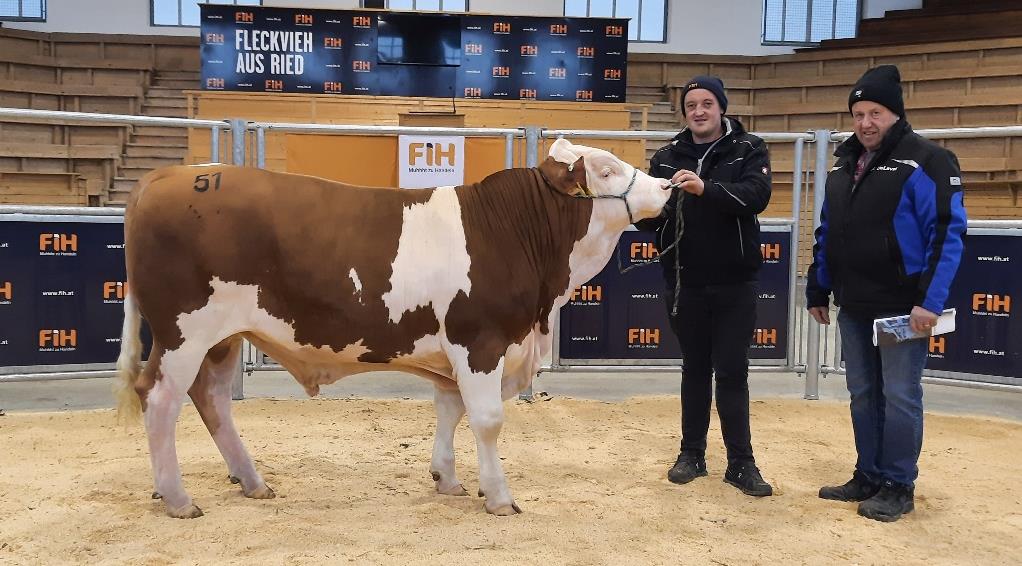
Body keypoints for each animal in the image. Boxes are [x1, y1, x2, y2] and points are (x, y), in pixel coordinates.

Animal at [115, 137, 670, 514]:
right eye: (605, 168)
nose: (666, 185)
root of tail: (166, 178)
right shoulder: (480, 339)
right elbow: (487, 419)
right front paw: (499, 496)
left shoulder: (457, 349)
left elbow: (450, 409)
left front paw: (447, 478)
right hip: (184, 333)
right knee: (160, 399)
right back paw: (178, 498)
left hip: (223, 338)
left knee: (212, 400)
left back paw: (251, 482)